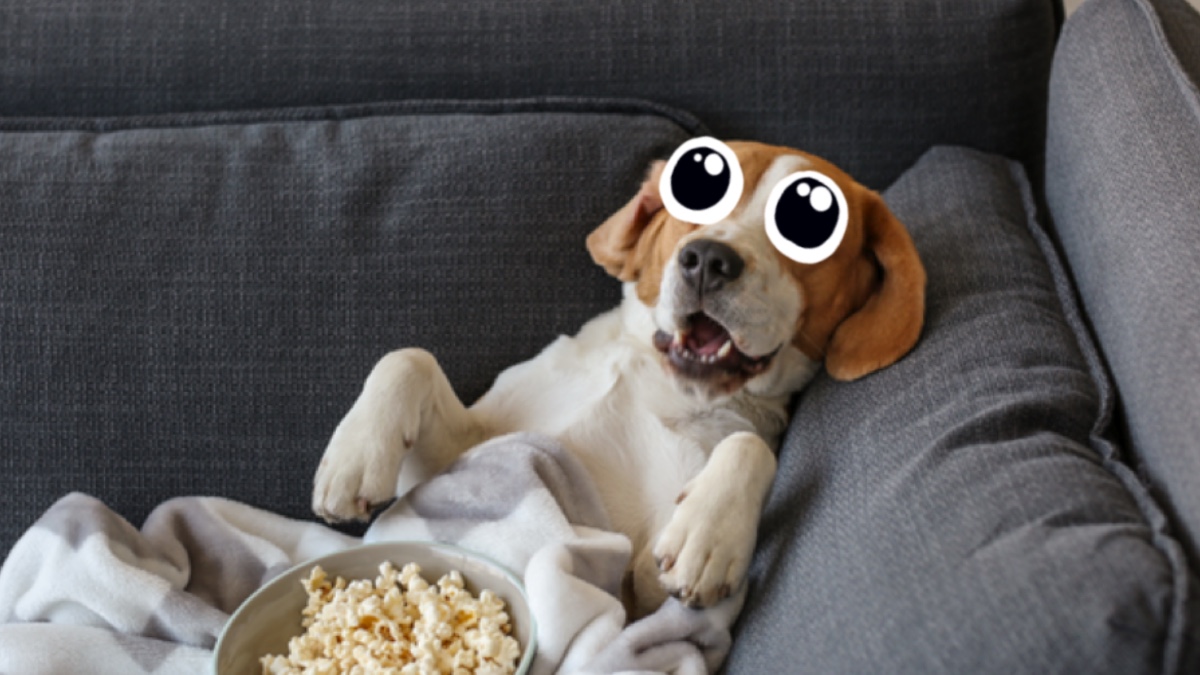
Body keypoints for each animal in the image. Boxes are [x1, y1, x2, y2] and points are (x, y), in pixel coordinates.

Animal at [312, 139, 926, 619]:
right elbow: (408, 357)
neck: (657, 379)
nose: (708, 258)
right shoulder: (461, 457)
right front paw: (352, 458)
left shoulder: (641, 588)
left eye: (807, 220)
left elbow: (747, 446)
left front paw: (710, 534)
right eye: (697, 187)